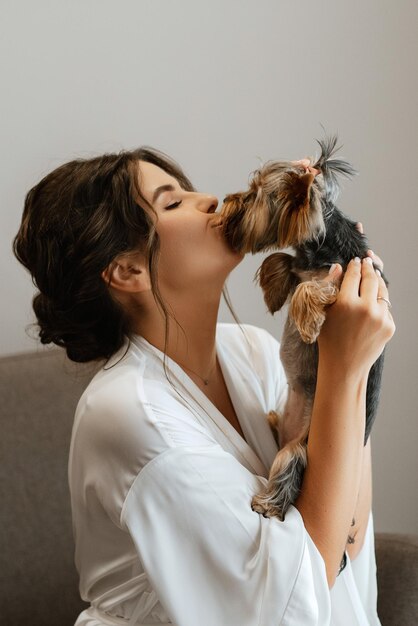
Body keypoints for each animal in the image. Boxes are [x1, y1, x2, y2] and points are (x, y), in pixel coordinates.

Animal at [216, 135, 388, 520]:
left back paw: (267, 503)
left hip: (300, 450)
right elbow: (282, 260)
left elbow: (312, 287)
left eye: (254, 195)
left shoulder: (348, 280)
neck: (322, 245)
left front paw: (307, 323)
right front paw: (272, 288)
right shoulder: (303, 263)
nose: (228, 199)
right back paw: (271, 419)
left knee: (287, 466)